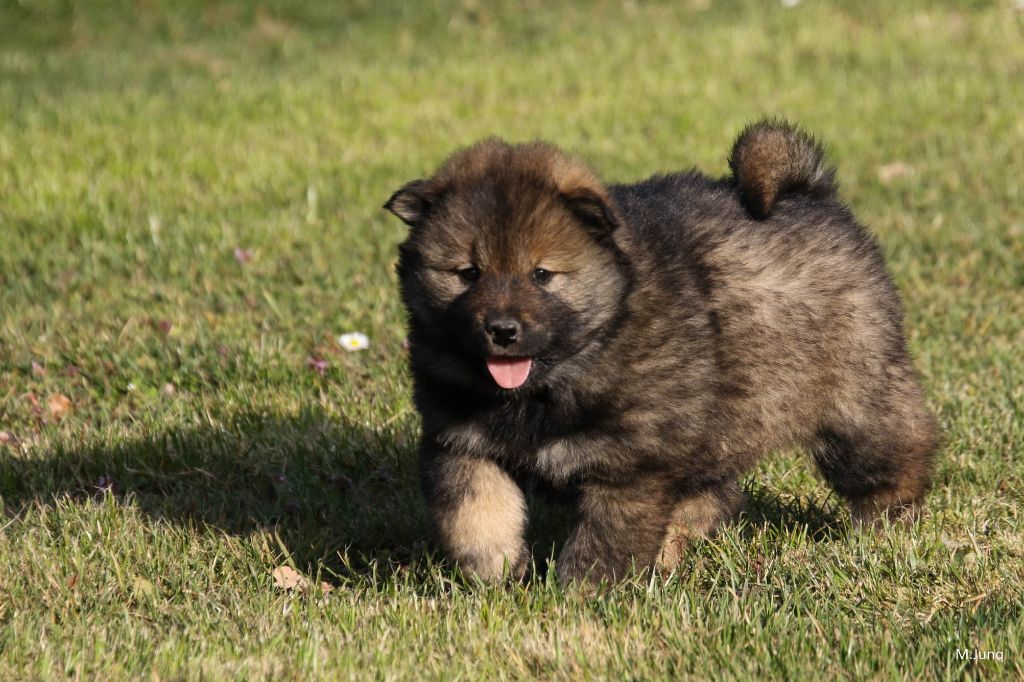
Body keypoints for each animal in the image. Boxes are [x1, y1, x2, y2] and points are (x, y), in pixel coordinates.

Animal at [385, 119, 937, 581]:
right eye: (467, 273)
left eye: (542, 275)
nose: (502, 330)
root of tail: (810, 193)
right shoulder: (459, 439)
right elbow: (473, 512)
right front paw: (495, 571)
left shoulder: (630, 465)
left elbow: (605, 541)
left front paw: (579, 597)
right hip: (723, 423)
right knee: (709, 495)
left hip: (856, 401)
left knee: (896, 454)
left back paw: (887, 527)